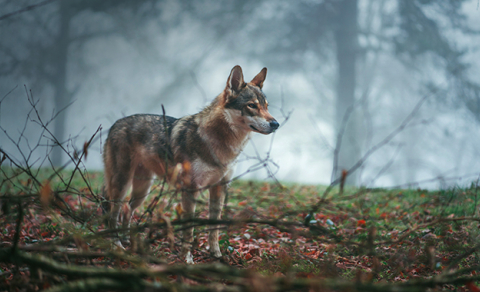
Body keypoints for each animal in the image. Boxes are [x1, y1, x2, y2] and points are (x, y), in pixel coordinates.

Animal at [103, 65, 280, 262]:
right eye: (252, 105)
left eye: (266, 106)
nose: (276, 124)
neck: (219, 143)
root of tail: (115, 124)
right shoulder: (190, 190)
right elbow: (189, 231)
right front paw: (187, 259)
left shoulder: (219, 188)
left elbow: (214, 228)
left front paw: (216, 254)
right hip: (122, 184)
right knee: (113, 214)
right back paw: (117, 245)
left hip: (143, 190)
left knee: (127, 209)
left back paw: (127, 240)